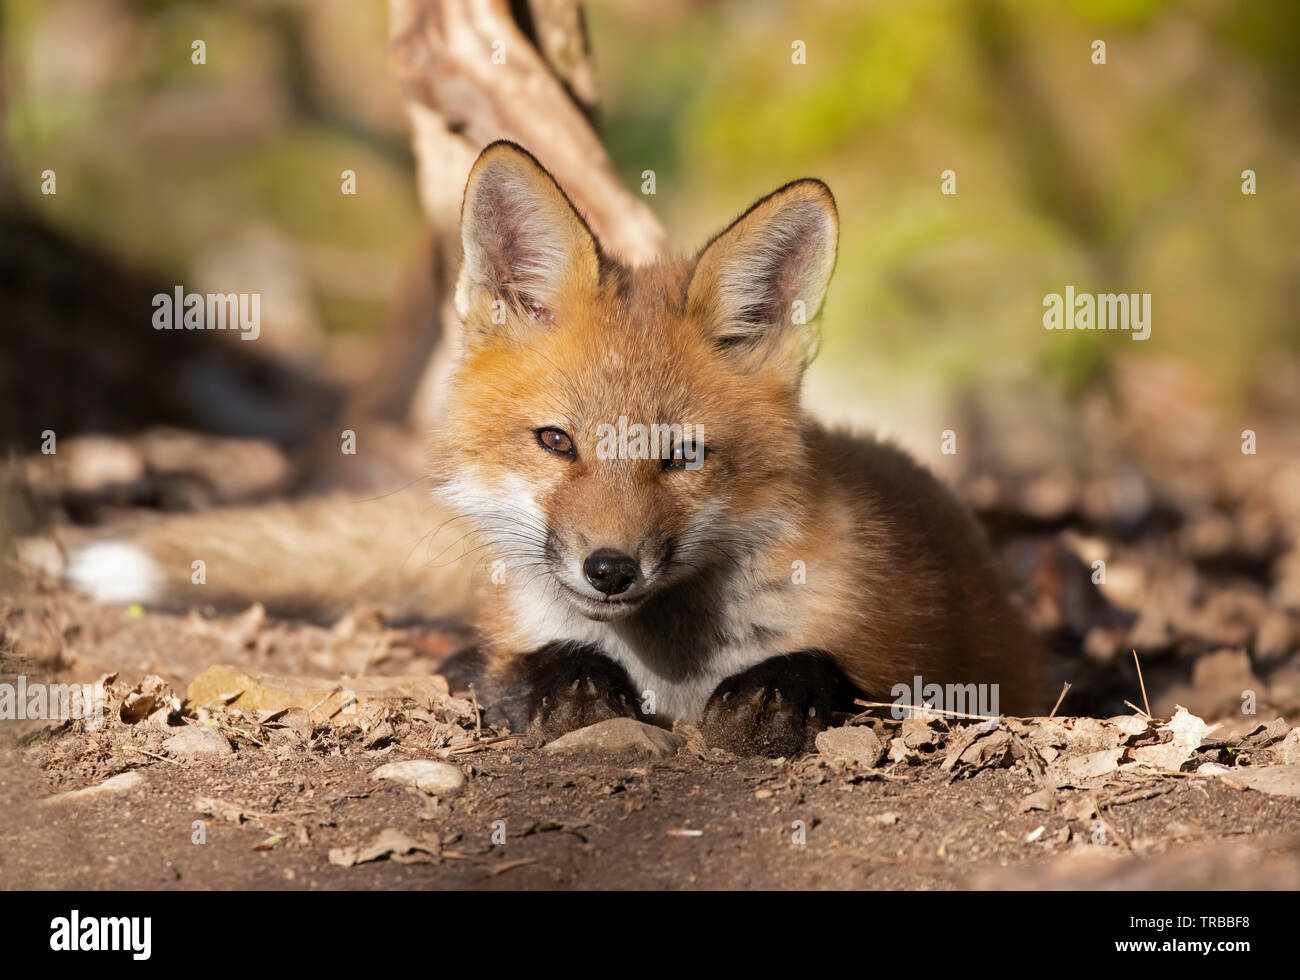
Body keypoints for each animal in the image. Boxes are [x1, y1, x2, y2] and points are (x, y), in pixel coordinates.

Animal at [57, 141, 1042, 756]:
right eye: (556, 442)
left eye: (684, 456)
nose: (610, 568)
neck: (667, 659)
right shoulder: (524, 634)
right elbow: (527, 664)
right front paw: (563, 686)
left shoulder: (941, 664)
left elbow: (827, 670)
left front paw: (774, 695)